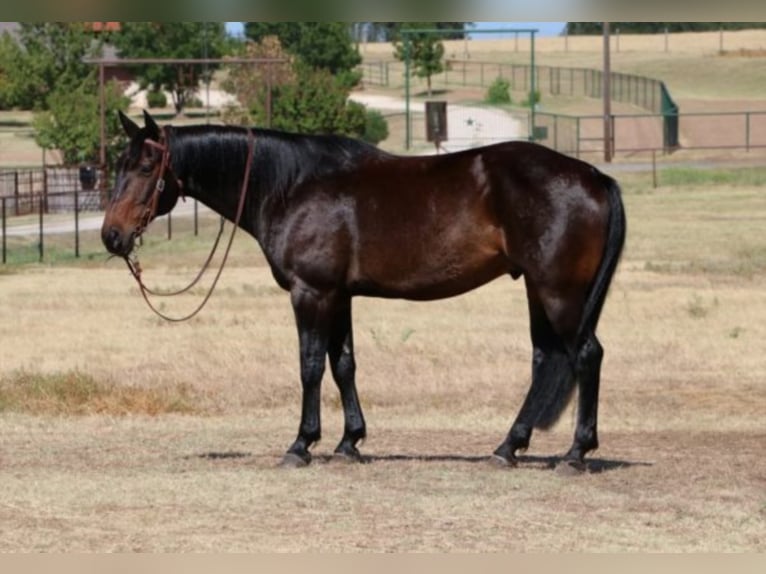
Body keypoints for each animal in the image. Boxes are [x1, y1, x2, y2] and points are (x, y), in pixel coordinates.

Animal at [102, 110, 628, 470]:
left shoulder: (311, 293)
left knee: (587, 355)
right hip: (540, 291)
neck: (292, 185)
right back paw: (508, 446)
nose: (112, 236)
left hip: (559, 293)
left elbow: (311, 366)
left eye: (146, 168)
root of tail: (593, 176)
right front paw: (349, 441)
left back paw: (576, 452)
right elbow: (344, 365)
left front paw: (302, 444)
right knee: (546, 359)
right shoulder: (339, 296)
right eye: (117, 165)